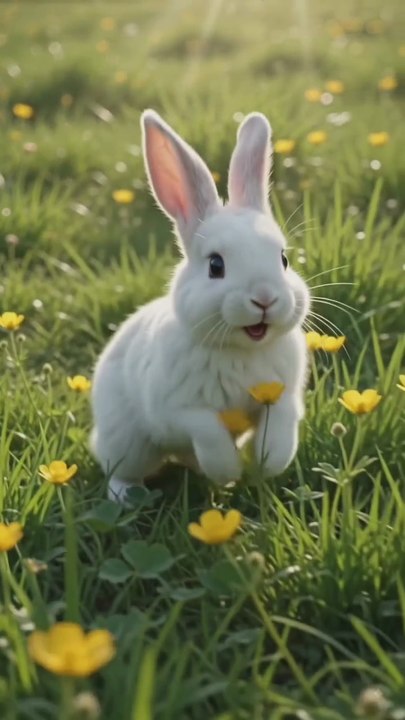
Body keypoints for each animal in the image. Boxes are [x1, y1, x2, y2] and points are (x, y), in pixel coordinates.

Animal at [90, 109, 310, 502]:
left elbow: (282, 424)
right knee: (119, 470)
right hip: (127, 443)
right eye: (215, 266)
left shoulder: (283, 397)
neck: (241, 351)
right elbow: (207, 430)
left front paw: (269, 461)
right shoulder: (176, 410)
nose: (265, 298)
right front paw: (227, 471)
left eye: (283, 259)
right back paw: (127, 497)